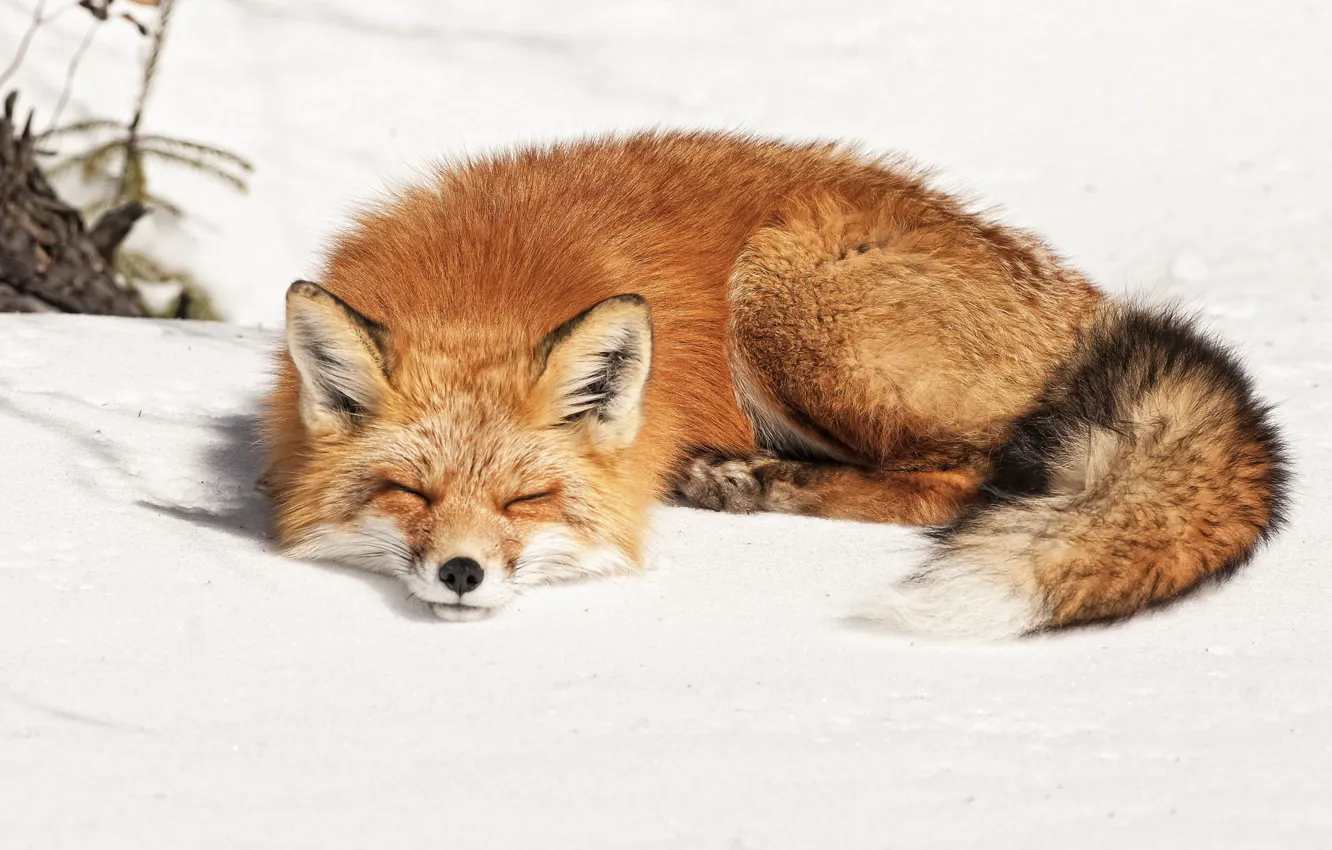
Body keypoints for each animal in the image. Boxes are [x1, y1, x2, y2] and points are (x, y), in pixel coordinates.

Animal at [261, 131, 1289, 637]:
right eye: (409, 491)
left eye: (529, 499)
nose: (462, 574)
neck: (483, 288)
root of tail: (1088, 303)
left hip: (781, 292)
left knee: (958, 480)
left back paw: (750, 481)